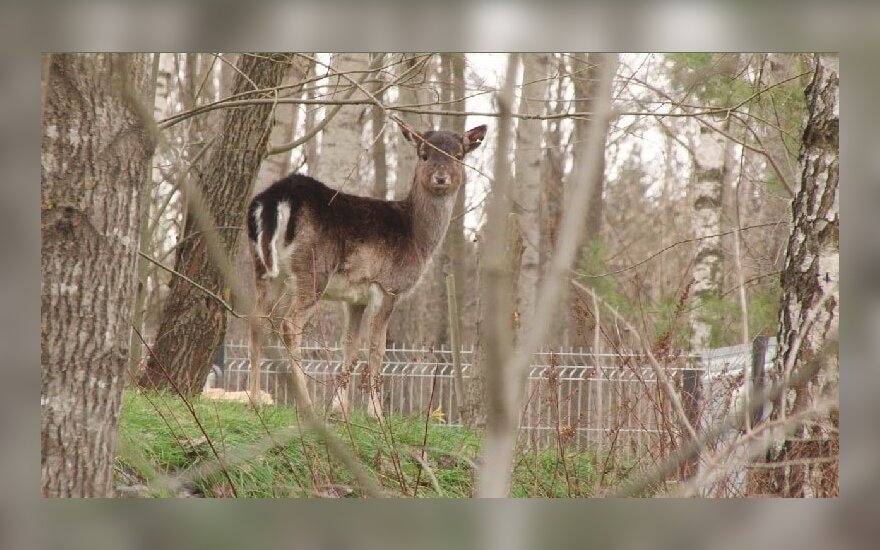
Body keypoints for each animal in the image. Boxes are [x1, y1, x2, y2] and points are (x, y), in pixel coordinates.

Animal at [248, 125, 488, 418]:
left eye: (458, 155)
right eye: (424, 154)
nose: (440, 177)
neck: (417, 237)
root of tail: (276, 198)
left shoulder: (355, 299)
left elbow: (350, 345)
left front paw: (339, 408)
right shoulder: (389, 286)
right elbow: (377, 347)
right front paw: (376, 412)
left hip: (264, 269)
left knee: (256, 319)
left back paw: (255, 399)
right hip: (313, 270)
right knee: (289, 324)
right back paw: (306, 405)